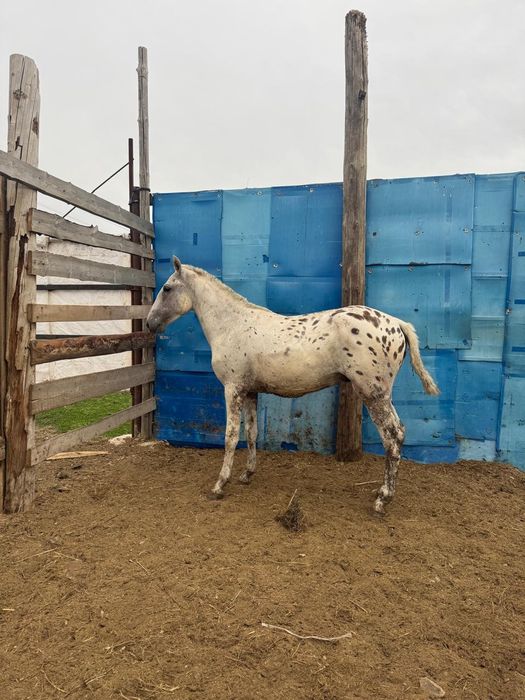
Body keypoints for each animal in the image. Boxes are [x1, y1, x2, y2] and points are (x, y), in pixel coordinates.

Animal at [146, 256, 439, 514]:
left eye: (167, 288)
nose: (150, 323)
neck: (232, 325)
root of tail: (397, 323)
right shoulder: (250, 392)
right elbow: (251, 433)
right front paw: (246, 474)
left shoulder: (233, 389)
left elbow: (230, 437)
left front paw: (219, 485)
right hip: (382, 395)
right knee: (399, 433)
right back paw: (381, 493)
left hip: (373, 394)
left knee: (392, 438)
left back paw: (382, 499)